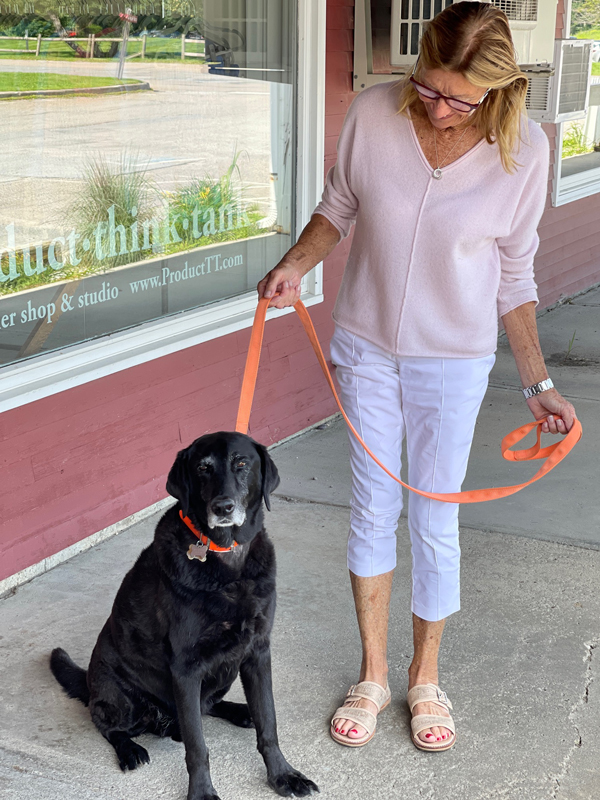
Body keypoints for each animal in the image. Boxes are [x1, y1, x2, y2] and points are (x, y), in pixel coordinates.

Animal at [50, 432, 318, 800]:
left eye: (241, 463)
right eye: (203, 468)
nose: (222, 507)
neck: (227, 561)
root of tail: (90, 681)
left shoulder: (257, 652)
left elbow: (268, 722)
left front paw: (282, 775)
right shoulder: (186, 669)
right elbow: (197, 745)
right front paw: (202, 792)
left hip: (226, 671)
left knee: (207, 706)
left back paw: (240, 710)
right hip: (120, 697)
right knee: (106, 723)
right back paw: (130, 749)